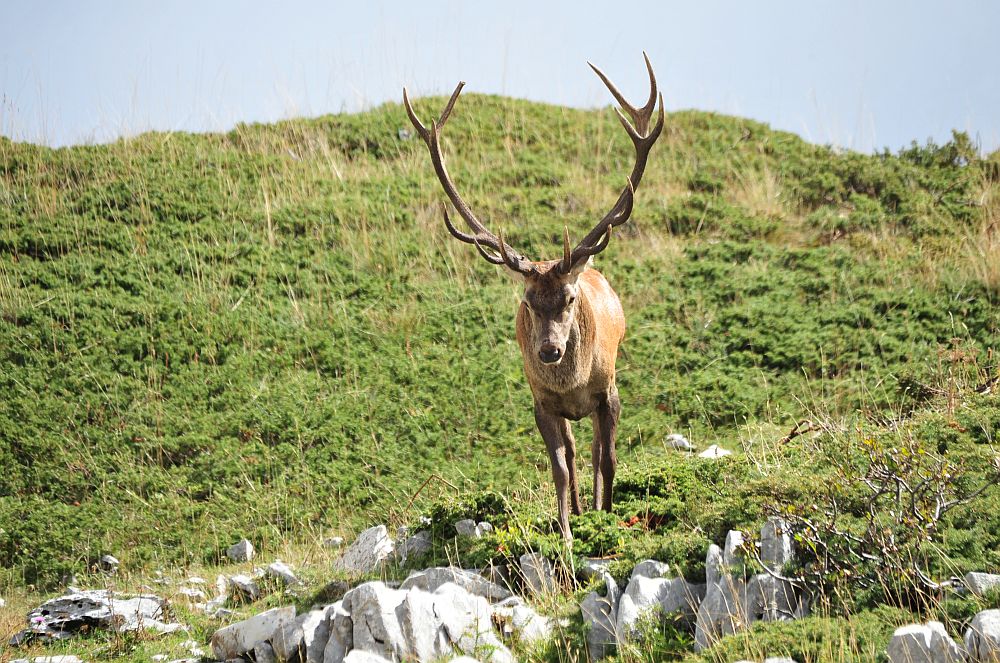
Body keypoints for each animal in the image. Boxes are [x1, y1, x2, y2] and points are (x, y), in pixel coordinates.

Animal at [402, 54, 660, 544]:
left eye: (571, 298)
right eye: (527, 301)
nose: (549, 350)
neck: (573, 382)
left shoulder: (608, 392)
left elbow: (610, 460)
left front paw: (607, 517)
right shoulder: (541, 403)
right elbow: (558, 469)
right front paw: (567, 532)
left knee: (594, 452)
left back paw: (595, 507)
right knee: (576, 454)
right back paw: (579, 510)